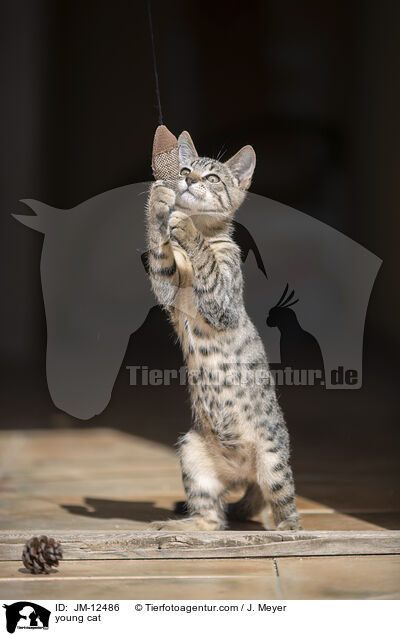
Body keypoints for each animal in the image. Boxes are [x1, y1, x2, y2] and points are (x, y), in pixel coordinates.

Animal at [146, 131, 301, 531]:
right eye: (185, 170)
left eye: (213, 178)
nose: (189, 181)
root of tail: (242, 476)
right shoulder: (167, 289)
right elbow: (159, 254)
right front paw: (159, 204)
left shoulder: (221, 304)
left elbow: (209, 266)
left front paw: (185, 227)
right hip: (191, 451)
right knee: (213, 519)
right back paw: (182, 526)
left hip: (273, 462)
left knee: (284, 507)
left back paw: (285, 531)